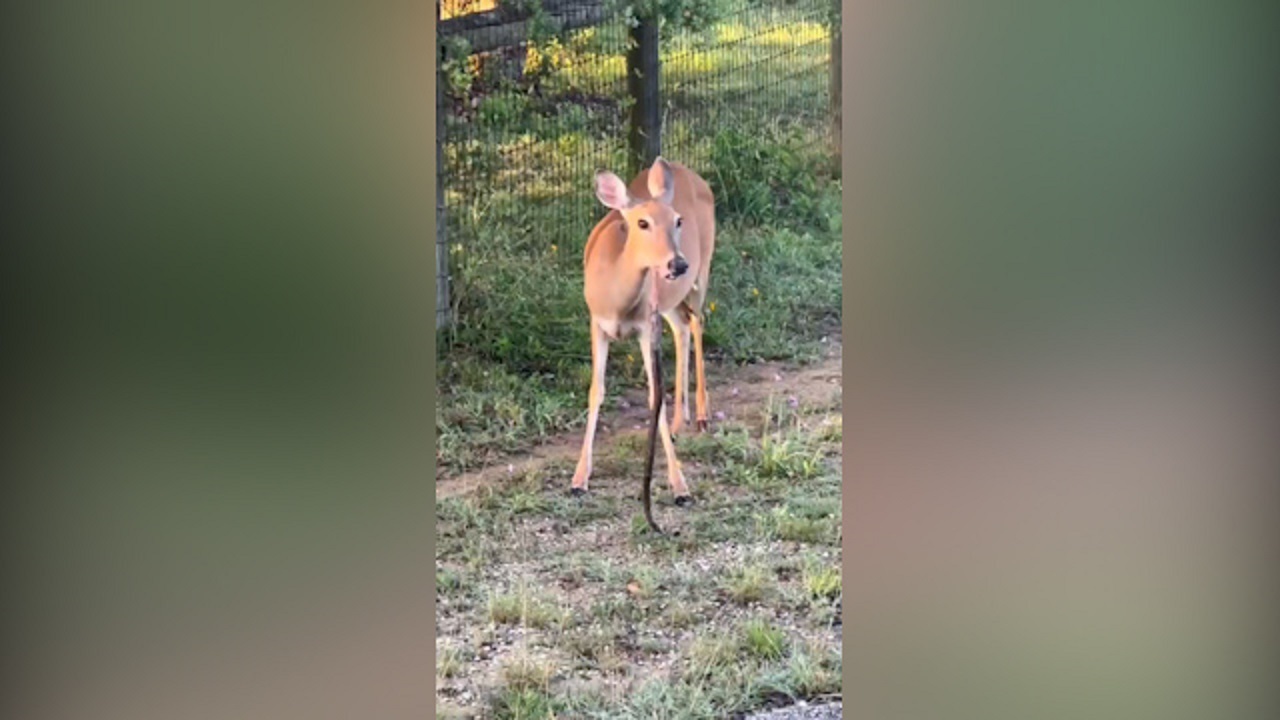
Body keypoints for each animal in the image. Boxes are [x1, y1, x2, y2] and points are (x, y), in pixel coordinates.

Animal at [573, 155, 716, 515]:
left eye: (678, 220)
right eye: (642, 223)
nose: (677, 264)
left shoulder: (644, 327)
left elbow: (655, 396)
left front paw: (681, 488)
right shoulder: (596, 322)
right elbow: (596, 390)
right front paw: (579, 479)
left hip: (702, 272)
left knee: (697, 322)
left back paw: (702, 416)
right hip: (668, 301)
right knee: (682, 326)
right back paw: (680, 423)